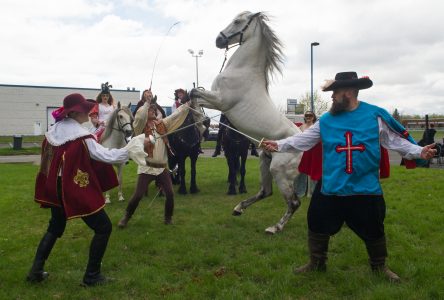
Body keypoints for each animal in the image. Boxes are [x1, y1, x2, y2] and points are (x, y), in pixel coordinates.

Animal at [191, 11, 306, 234]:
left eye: (237, 21)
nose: (219, 40)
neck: (242, 70)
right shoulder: (216, 100)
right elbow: (194, 95)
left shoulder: (221, 101)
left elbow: (194, 93)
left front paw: (199, 122)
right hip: (264, 161)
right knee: (265, 192)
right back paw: (238, 208)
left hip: (279, 170)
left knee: (293, 202)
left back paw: (275, 228)